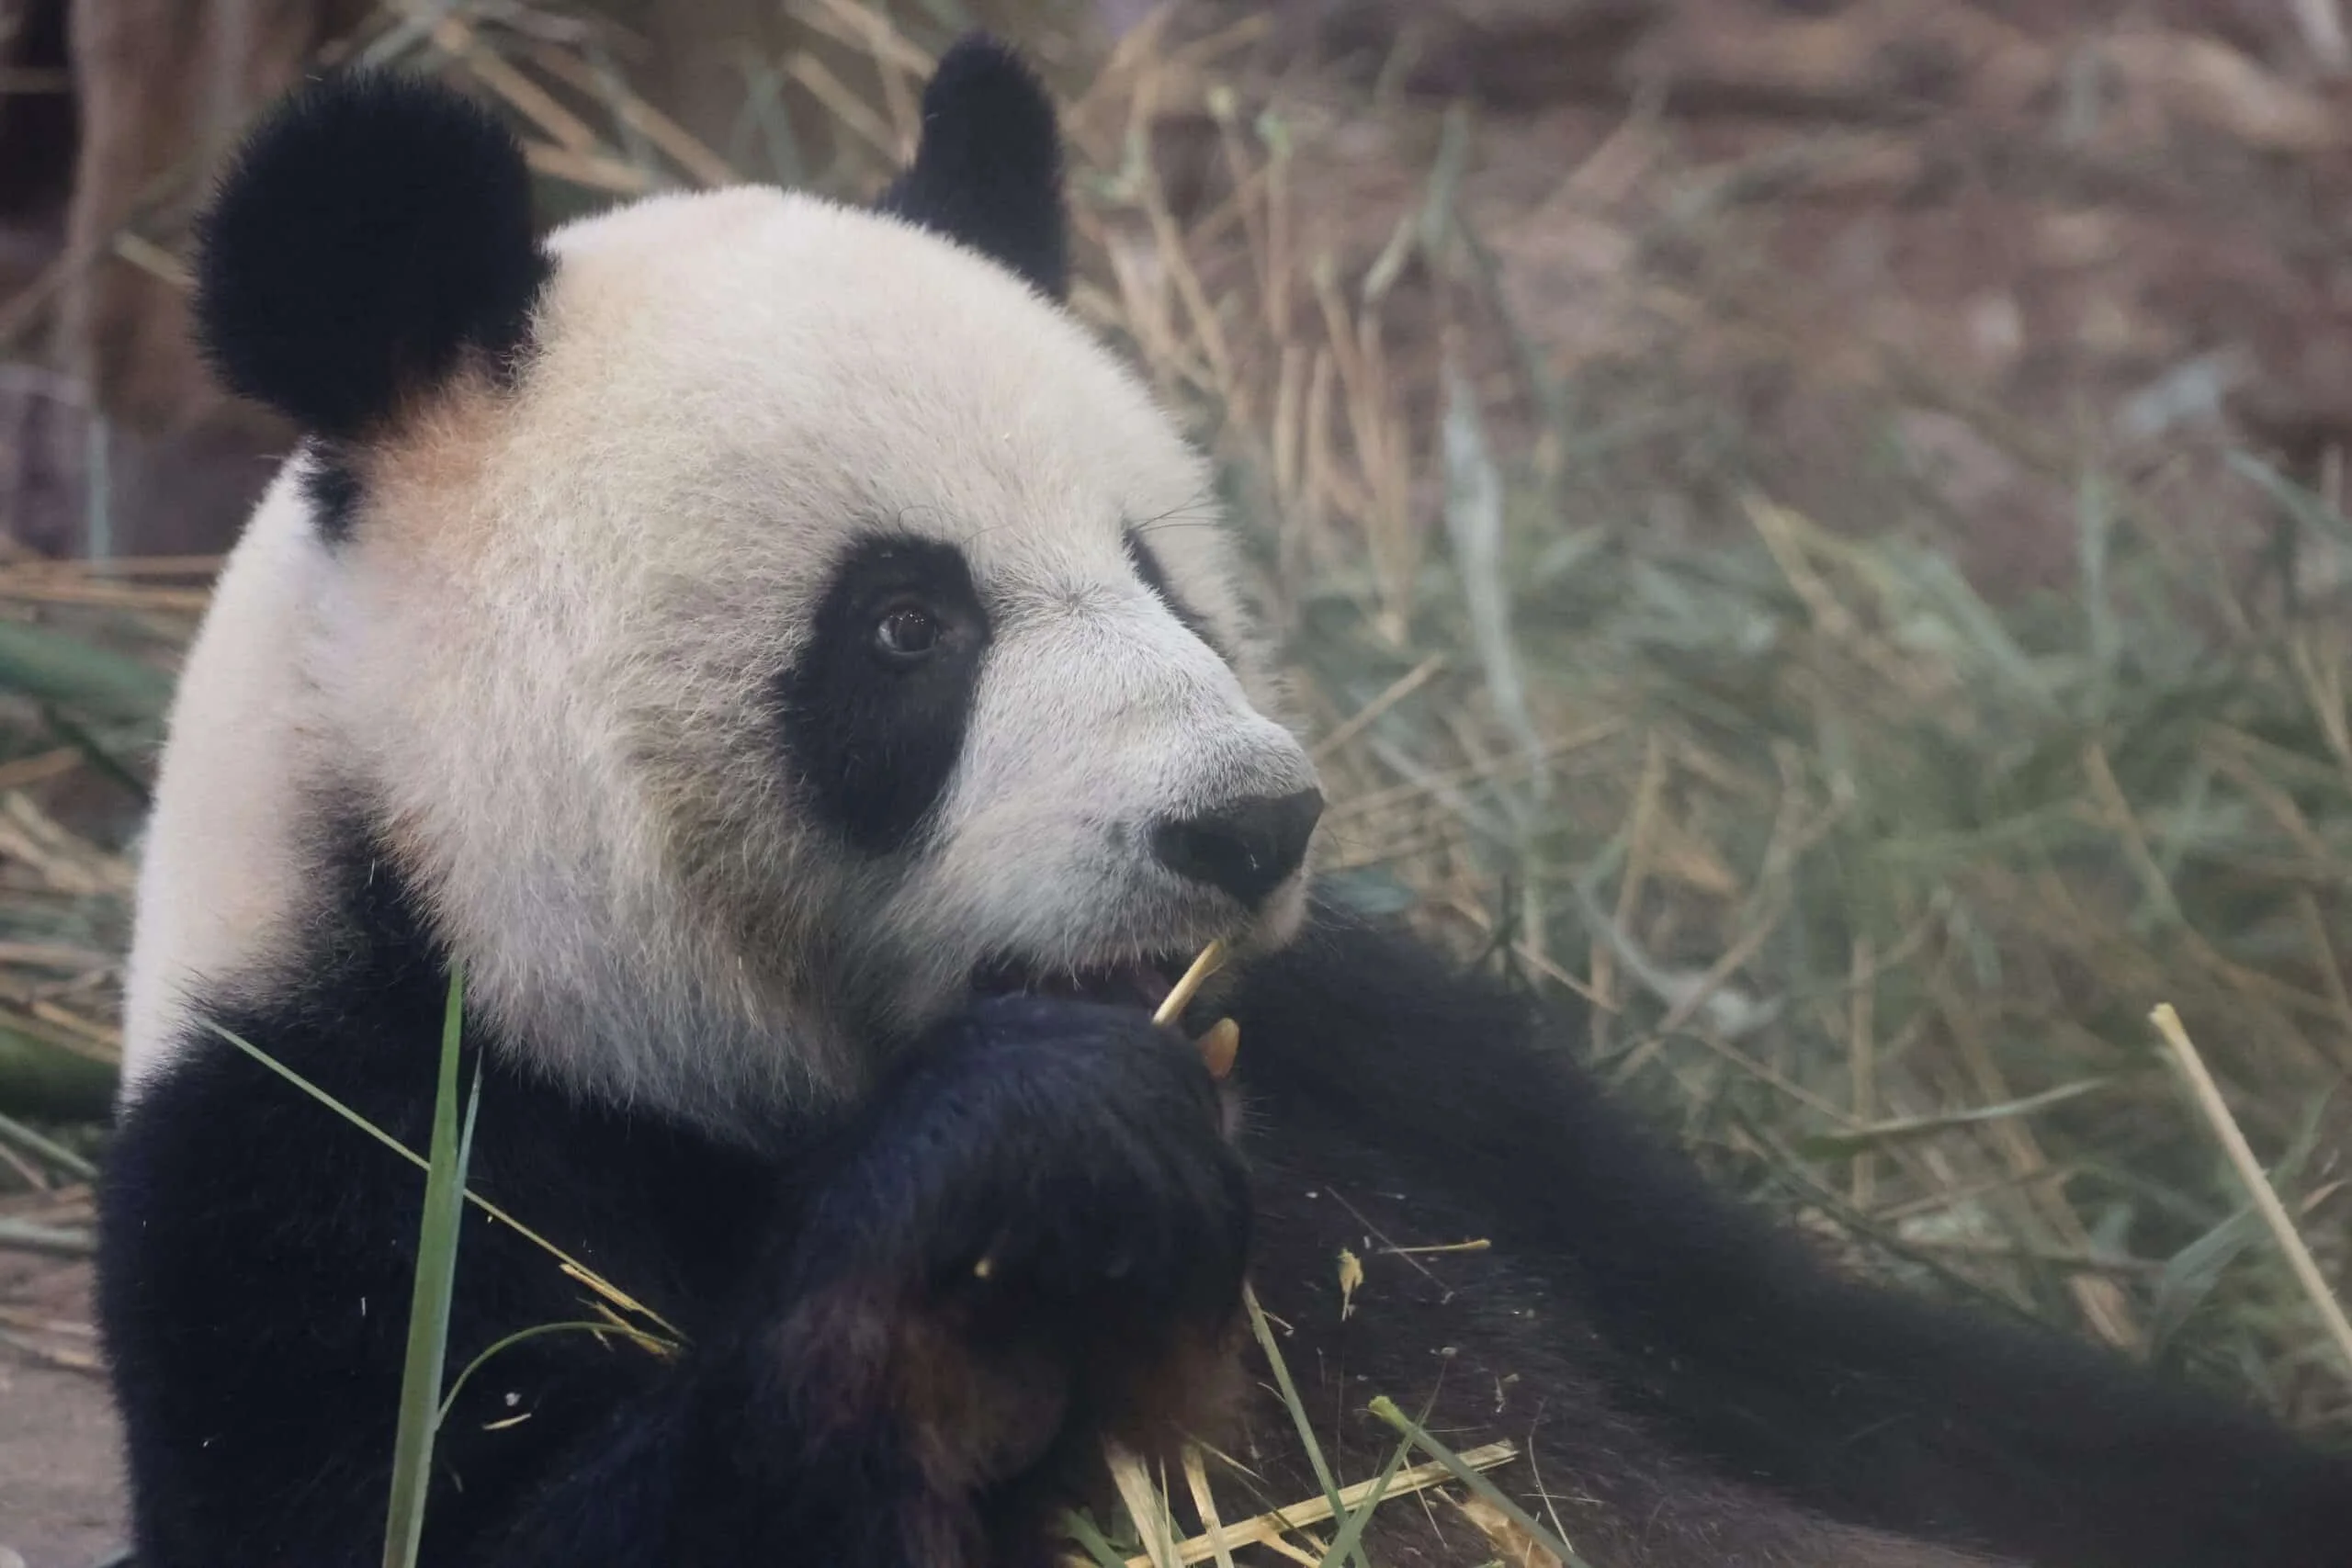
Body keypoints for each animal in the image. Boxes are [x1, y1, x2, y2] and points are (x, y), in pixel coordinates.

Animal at [91, 36, 2352, 1568]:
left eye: (1158, 569)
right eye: (904, 626)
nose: (1246, 827)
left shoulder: (1436, 1085)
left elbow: (1871, 1377)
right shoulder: (335, 1159)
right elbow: (458, 1497)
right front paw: (1031, 1158)